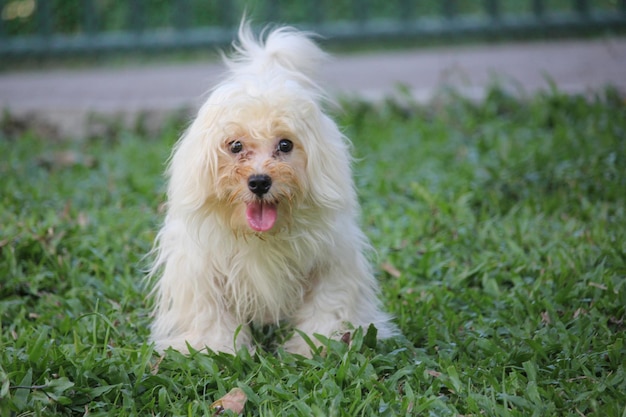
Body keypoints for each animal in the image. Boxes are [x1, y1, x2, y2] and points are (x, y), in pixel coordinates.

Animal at [147, 22, 394, 354]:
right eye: (235, 146)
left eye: (285, 145)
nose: (260, 182)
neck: (260, 237)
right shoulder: (201, 268)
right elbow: (210, 312)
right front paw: (215, 348)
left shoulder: (331, 261)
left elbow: (326, 305)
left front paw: (318, 345)